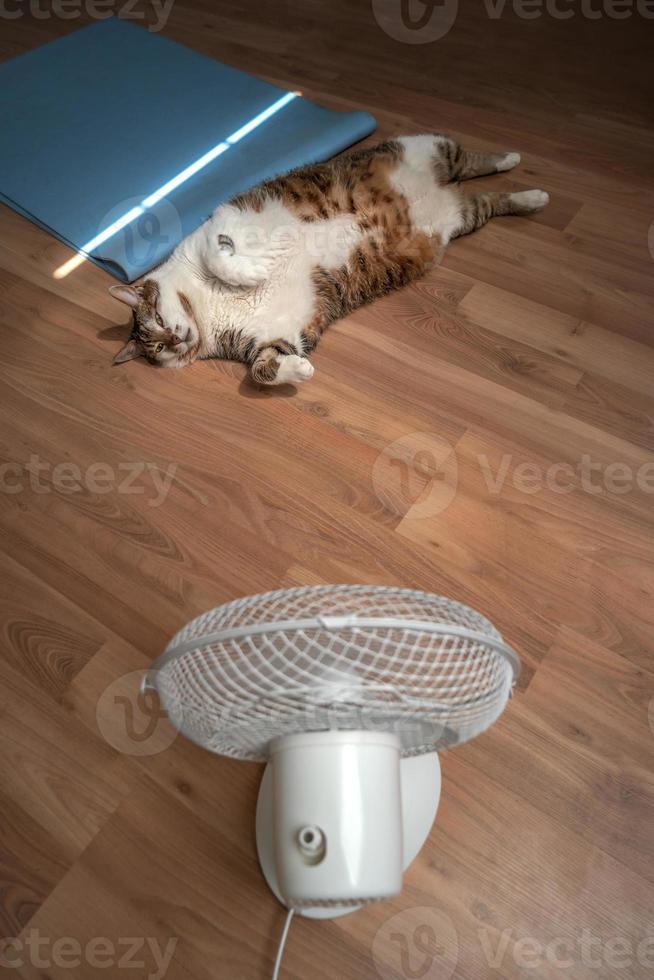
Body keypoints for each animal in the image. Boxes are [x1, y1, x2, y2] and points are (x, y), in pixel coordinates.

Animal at [110, 134, 552, 382]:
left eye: (160, 320)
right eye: (159, 349)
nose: (177, 338)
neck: (205, 307)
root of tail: (446, 190)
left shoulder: (214, 229)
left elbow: (222, 259)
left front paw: (252, 272)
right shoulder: (273, 335)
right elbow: (262, 367)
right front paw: (298, 370)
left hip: (428, 148)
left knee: (472, 160)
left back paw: (514, 164)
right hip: (463, 218)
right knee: (491, 200)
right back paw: (530, 197)